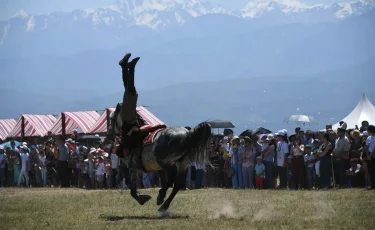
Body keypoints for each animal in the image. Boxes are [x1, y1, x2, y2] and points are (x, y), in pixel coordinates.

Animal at [107, 54, 213, 212]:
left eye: (112, 118)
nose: (109, 133)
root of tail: (188, 134)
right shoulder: (156, 168)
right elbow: (161, 180)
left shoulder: (131, 167)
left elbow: (132, 188)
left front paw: (142, 198)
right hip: (181, 163)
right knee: (177, 183)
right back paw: (164, 204)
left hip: (165, 161)